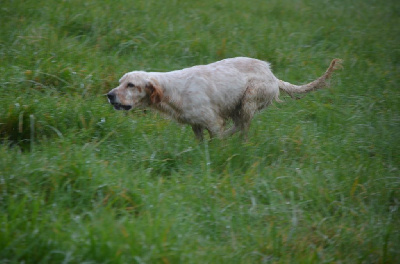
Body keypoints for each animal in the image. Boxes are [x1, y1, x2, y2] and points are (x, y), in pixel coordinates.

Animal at [106, 57, 340, 140]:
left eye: (131, 85)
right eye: (120, 82)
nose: (109, 95)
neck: (172, 90)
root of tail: (272, 75)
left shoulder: (213, 121)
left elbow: (217, 138)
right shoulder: (196, 124)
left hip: (249, 99)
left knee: (242, 128)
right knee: (239, 125)